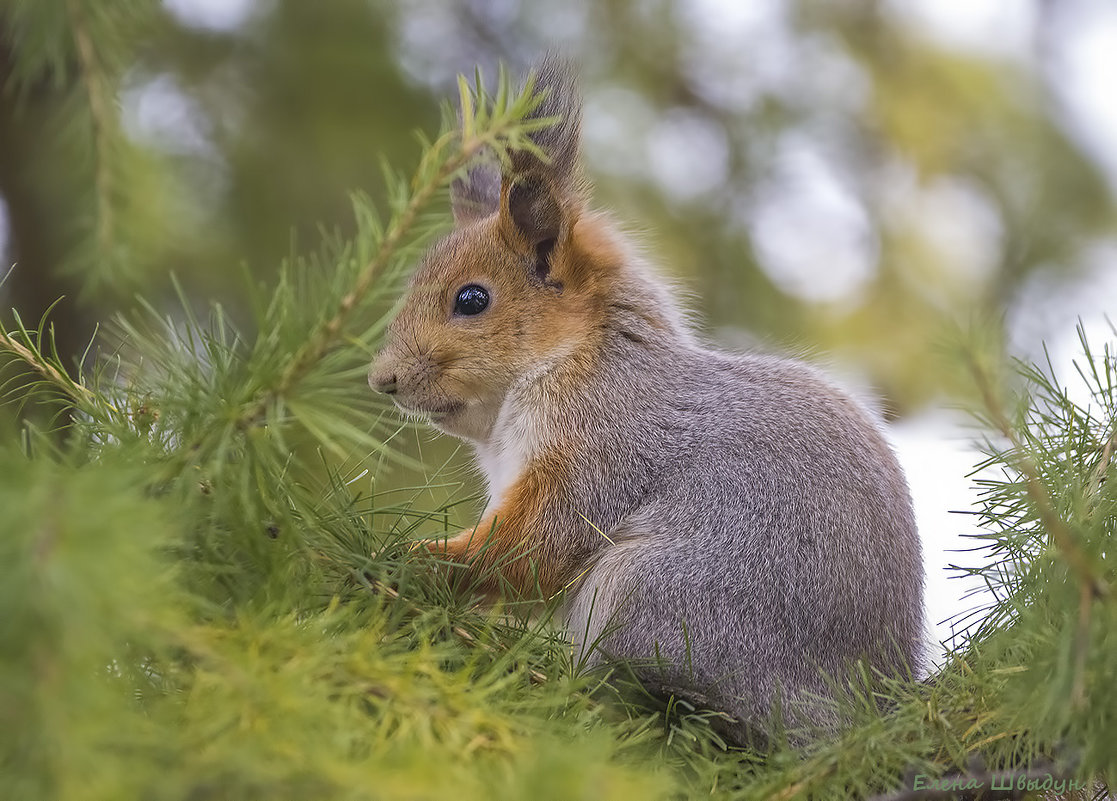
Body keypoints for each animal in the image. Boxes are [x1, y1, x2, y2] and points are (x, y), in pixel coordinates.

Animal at [368, 56, 924, 741]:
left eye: (471, 299)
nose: (382, 379)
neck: (573, 360)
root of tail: (865, 714)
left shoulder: (602, 445)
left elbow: (533, 548)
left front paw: (409, 558)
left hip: (655, 594)